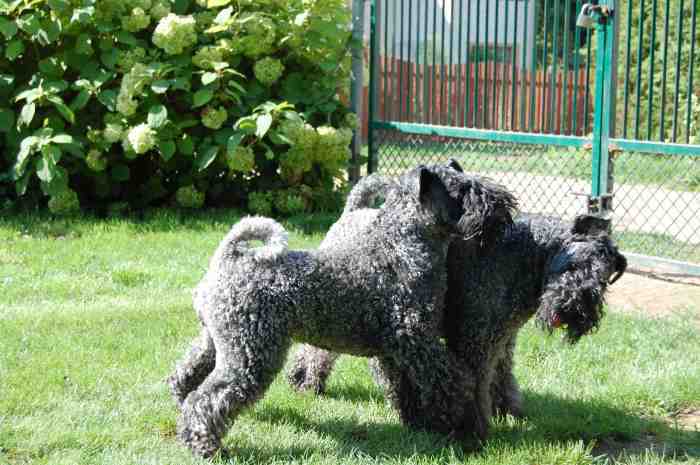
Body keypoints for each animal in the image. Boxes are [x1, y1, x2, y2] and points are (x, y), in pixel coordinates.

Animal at [168, 164, 520, 456]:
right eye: (463, 190)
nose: (504, 204)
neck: (400, 246)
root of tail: (227, 258)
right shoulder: (416, 341)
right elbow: (450, 381)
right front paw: (459, 421)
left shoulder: (395, 351)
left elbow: (405, 388)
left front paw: (419, 423)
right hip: (249, 357)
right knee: (208, 399)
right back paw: (205, 445)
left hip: (217, 344)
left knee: (186, 374)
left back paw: (181, 409)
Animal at [288, 164, 628, 436]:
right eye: (573, 264)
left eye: (603, 277)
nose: (576, 309)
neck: (520, 256)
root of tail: (354, 211)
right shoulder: (474, 342)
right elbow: (475, 382)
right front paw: (474, 424)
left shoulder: (502, 340)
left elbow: (501, 377)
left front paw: (507, 410)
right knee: (318, 351)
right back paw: (306, 380)